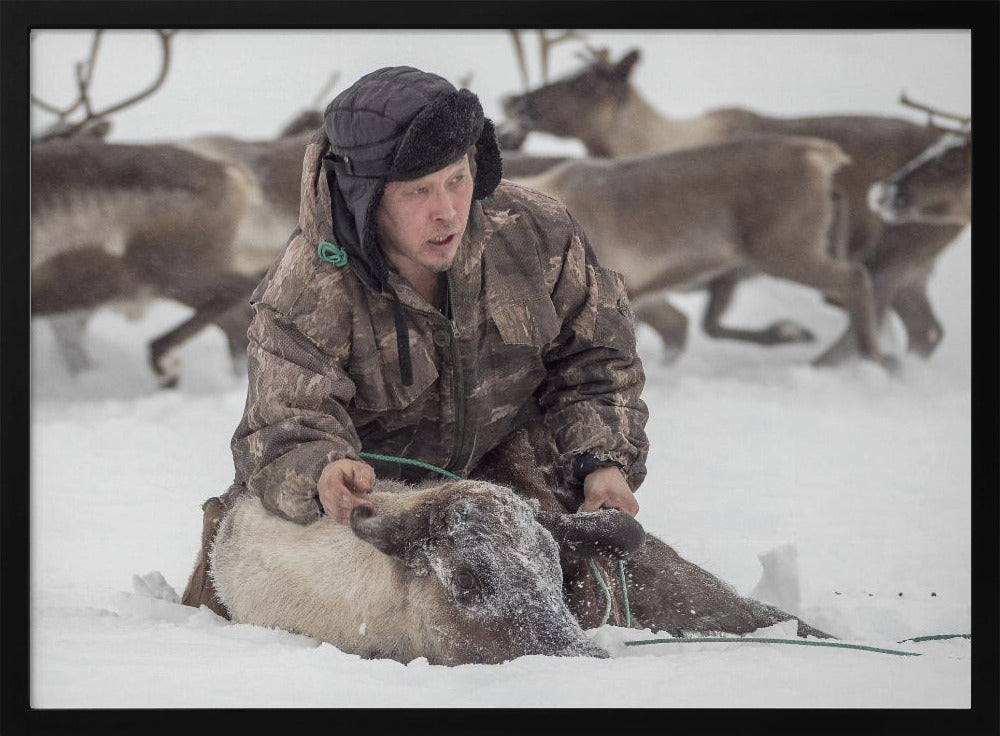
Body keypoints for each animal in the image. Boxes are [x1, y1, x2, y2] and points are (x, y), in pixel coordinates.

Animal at [502, 45, 971, 364]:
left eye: (586, 83)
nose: (516, 103)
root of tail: (823, 158)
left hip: (797, 250)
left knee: (861, 284)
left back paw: (858, 363)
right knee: (920, 327)